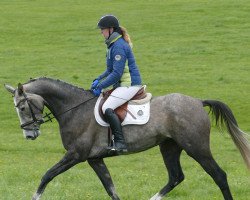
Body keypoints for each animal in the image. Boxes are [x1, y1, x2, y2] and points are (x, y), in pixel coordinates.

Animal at [3, 77, 250, 200]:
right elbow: (111, 189)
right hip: (169, 147)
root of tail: (198, 102)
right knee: (175, 177)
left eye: (22, 107)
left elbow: (46, 176)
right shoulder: (94, 159)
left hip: (196, 147)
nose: (29, 134)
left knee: (219, 175)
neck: (74, 109)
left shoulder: (75, 155)